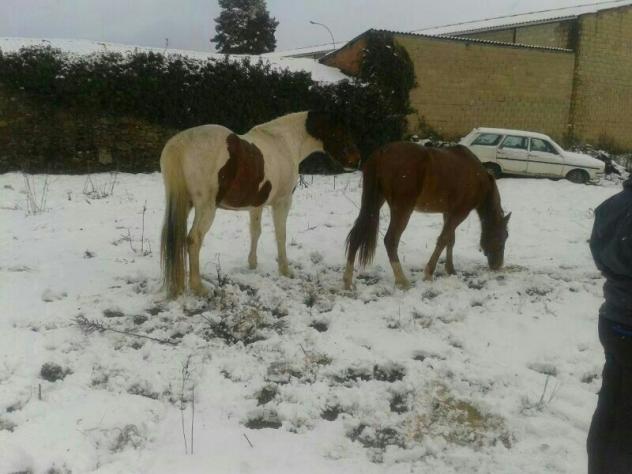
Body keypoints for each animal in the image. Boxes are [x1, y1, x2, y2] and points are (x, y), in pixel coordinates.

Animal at [160, 110, 361, 298]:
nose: (355, 161)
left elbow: (255, 232)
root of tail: (181, 143)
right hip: (206, 208)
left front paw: (252, 264)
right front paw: (285, 270)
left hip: (185, 205)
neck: (284, 142)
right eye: (340, 131)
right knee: (193, 240)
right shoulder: (282, 202)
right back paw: (199, 287)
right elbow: (281, 235)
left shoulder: (256, 204)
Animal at [343, 142, 510, 290]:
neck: (478, 178)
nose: (497, 265)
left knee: (356, 235)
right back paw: (402, 281)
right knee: (390, 240)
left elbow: (450, 240)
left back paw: (347, 282)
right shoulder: (459, 213)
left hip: (374, 203)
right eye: (502, 237)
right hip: (402, 209)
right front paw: (429, 273)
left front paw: (450, 269)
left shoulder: (448, 213)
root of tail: (382, 152)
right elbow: (443, 239)